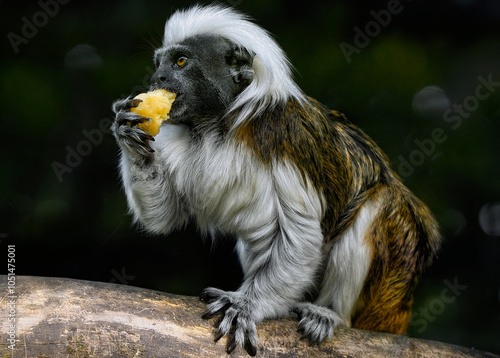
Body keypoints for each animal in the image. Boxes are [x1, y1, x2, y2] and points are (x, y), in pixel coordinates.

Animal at [111, 4, 440, 356]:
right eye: (159, 64)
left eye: (181, 62)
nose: (156, 78)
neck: (216, 126)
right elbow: (167, 216)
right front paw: (128, 131)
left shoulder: (283, 137)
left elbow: (301, 235)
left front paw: (245, 305)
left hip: (391, 282)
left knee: (380, 204)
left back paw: (330, 314)